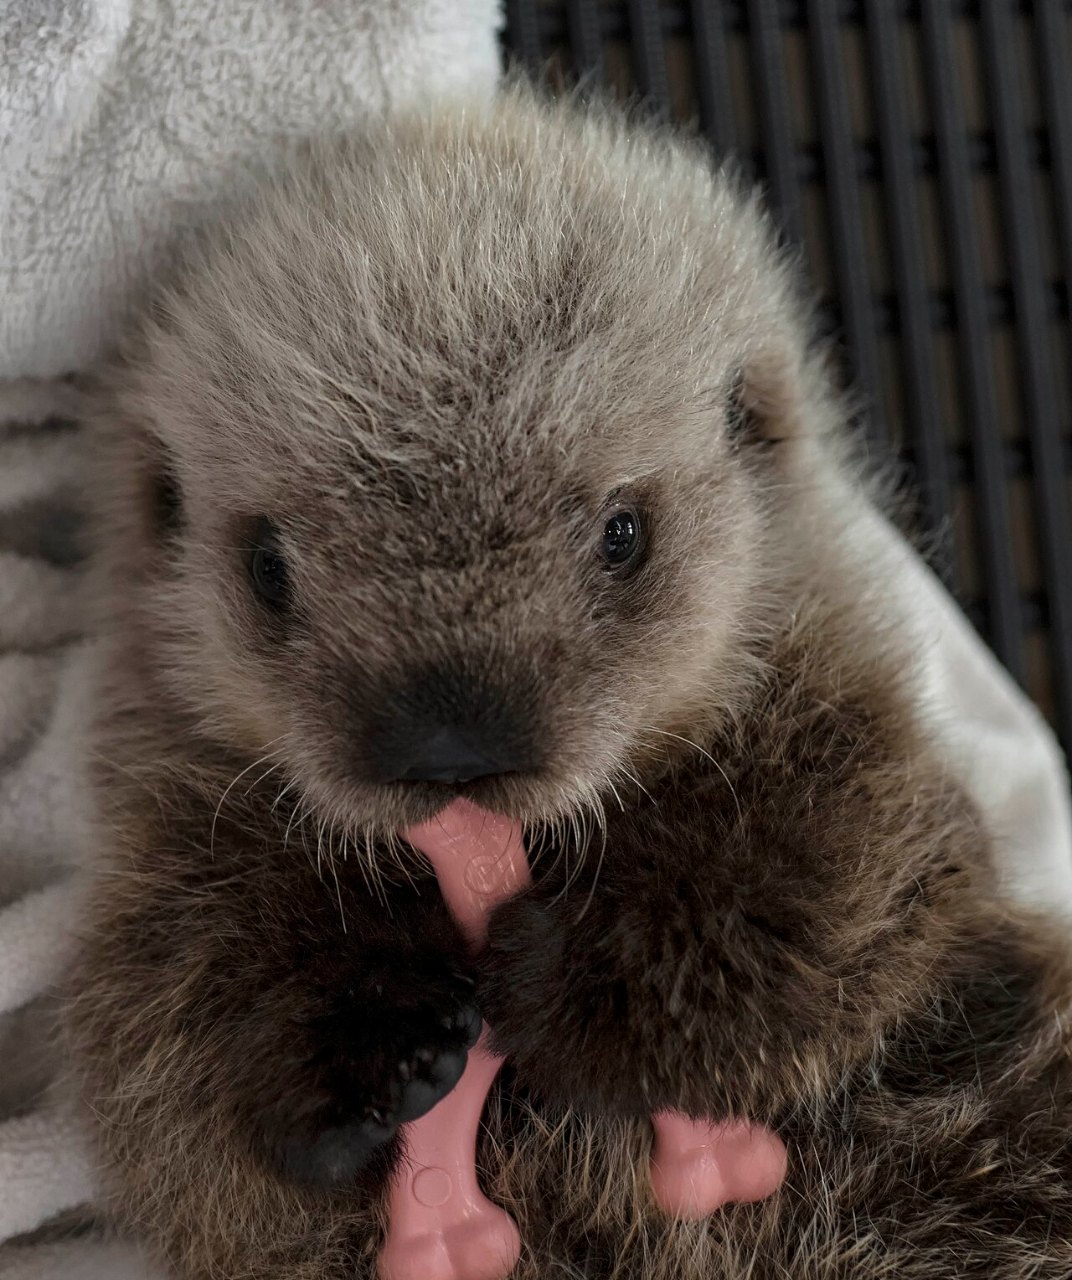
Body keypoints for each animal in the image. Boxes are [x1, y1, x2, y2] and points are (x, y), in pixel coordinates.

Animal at [66, 86, 1072, 1278]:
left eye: (622, 534)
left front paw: (570, 981)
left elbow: (826, 867)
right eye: (267, 568)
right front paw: (378, 1037)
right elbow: (168, 1029)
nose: (449, 746)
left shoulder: (848, 728)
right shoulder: (169, 835)